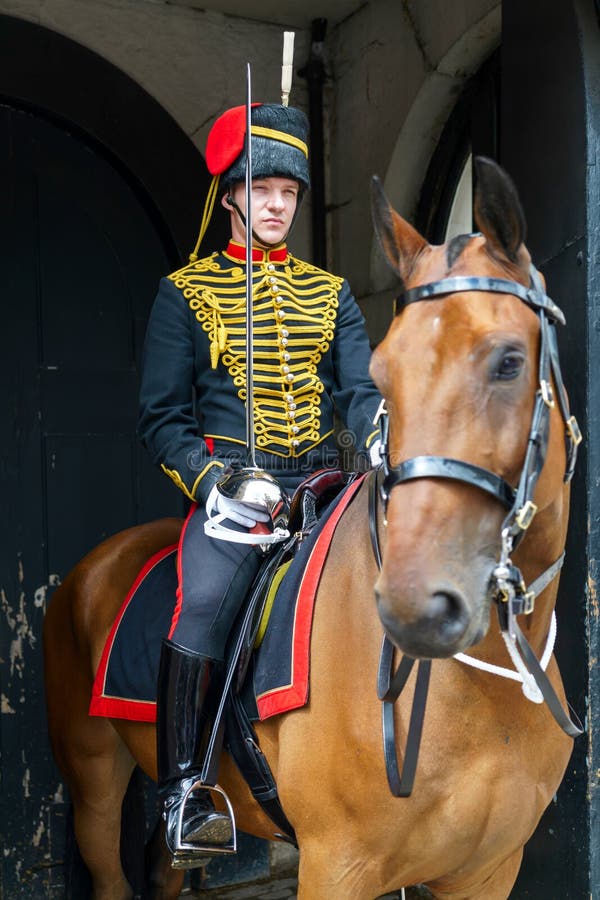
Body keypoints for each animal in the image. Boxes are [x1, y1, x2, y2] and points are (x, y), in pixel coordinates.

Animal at [43, 158, 580, 896]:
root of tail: (96, 564)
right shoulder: (337, 865)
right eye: (385, 370)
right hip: (93, 775)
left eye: (509, 361)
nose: (414, 606)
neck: (480, 690)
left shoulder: (489, 871)